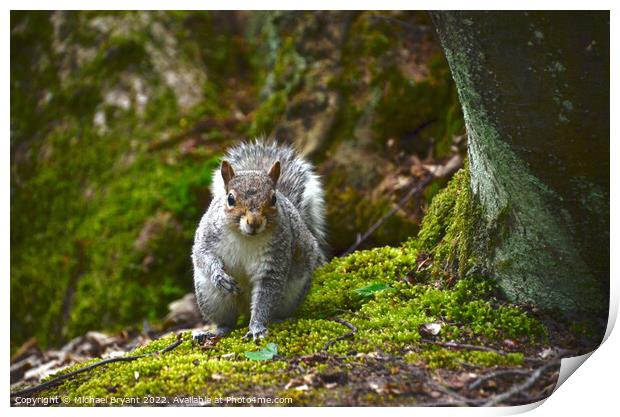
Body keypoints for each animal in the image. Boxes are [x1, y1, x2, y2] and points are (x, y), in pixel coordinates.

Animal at [193, 140, 330, 342]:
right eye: (230, 199)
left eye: (273, 199)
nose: (254, 222)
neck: (245, 237)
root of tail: (244, 309)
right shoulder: (207, 236)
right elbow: (203, 255)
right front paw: (219, 276)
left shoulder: (275, 257)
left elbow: (265, 297)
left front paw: (257, 328)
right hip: (211, 298)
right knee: (227, 322)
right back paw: (213, 331)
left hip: (292, 293)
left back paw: (280, 320)